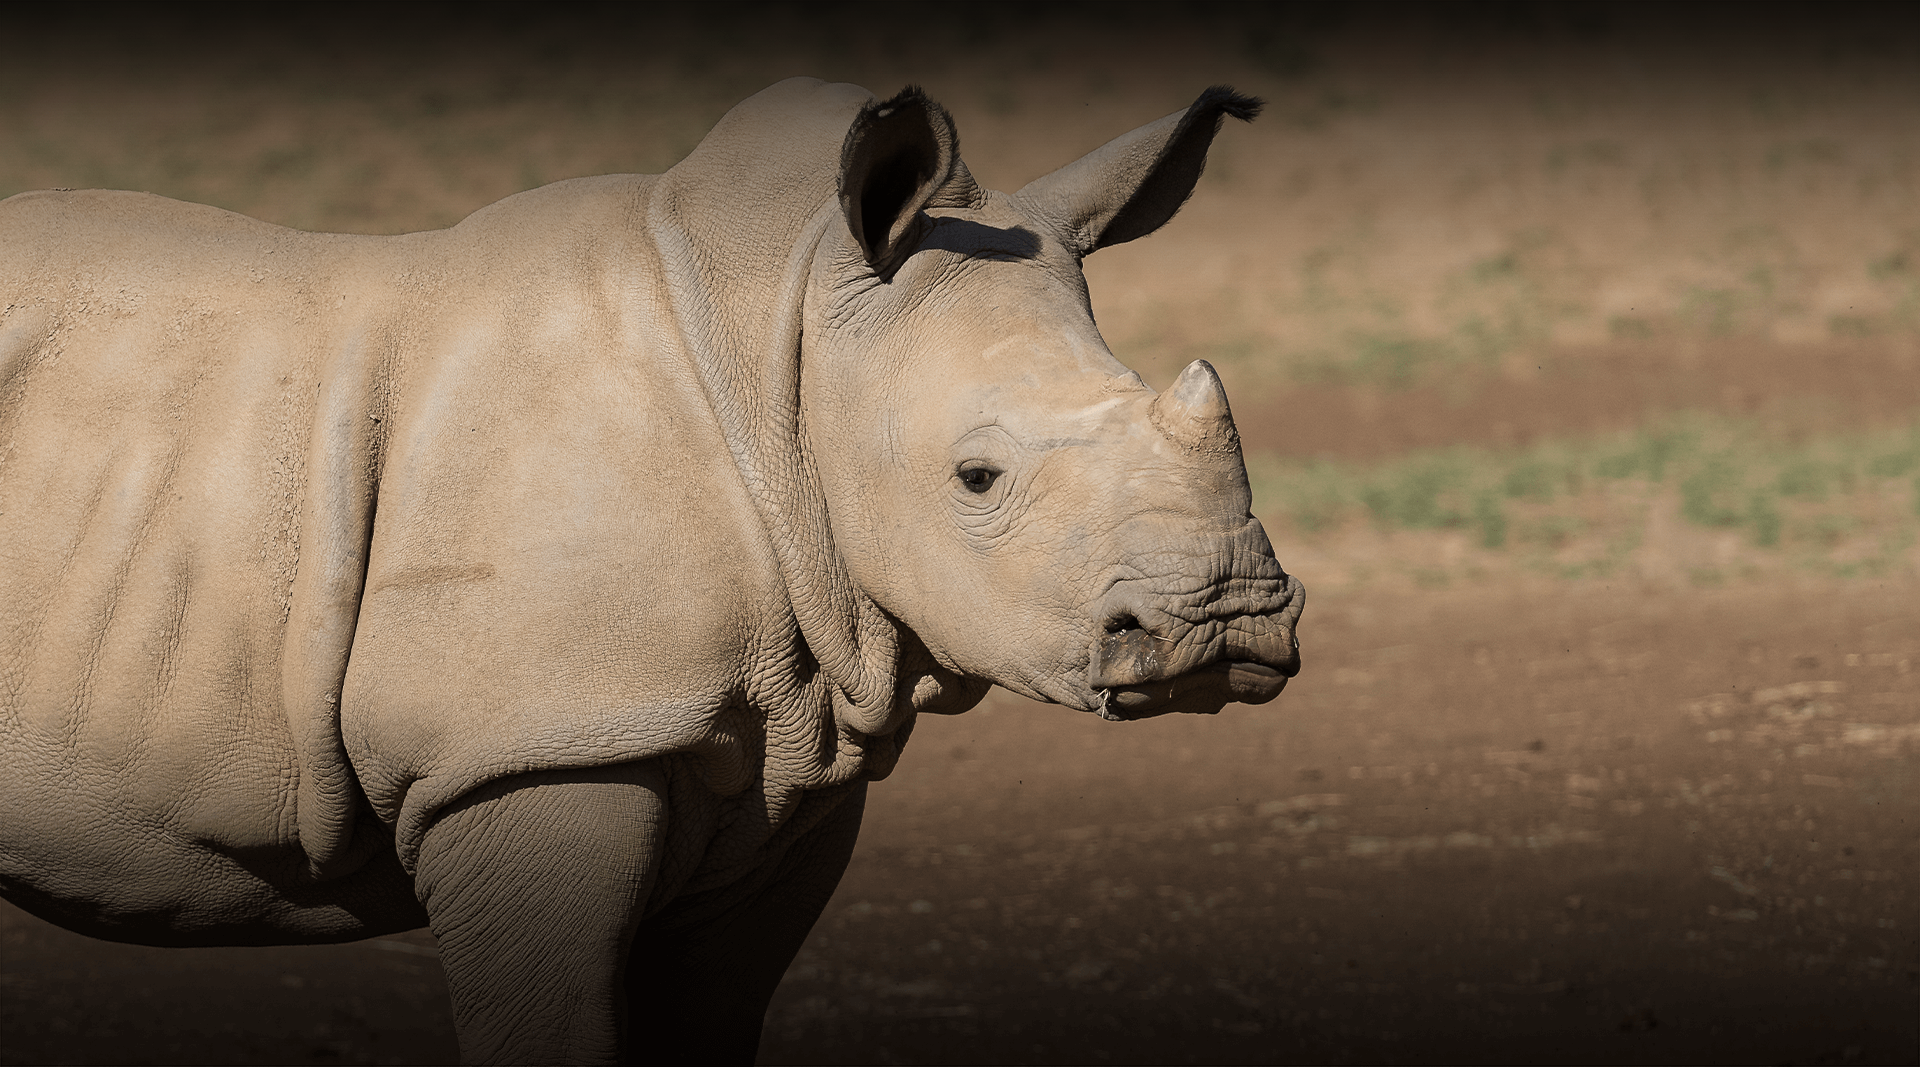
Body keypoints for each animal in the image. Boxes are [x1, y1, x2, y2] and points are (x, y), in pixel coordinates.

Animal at [0, 78, 1304, 1062]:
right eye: (977, 478)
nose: (1228, 620)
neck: (784, 346)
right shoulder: (536, 741)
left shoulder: (793, 764)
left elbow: (713, 1019)